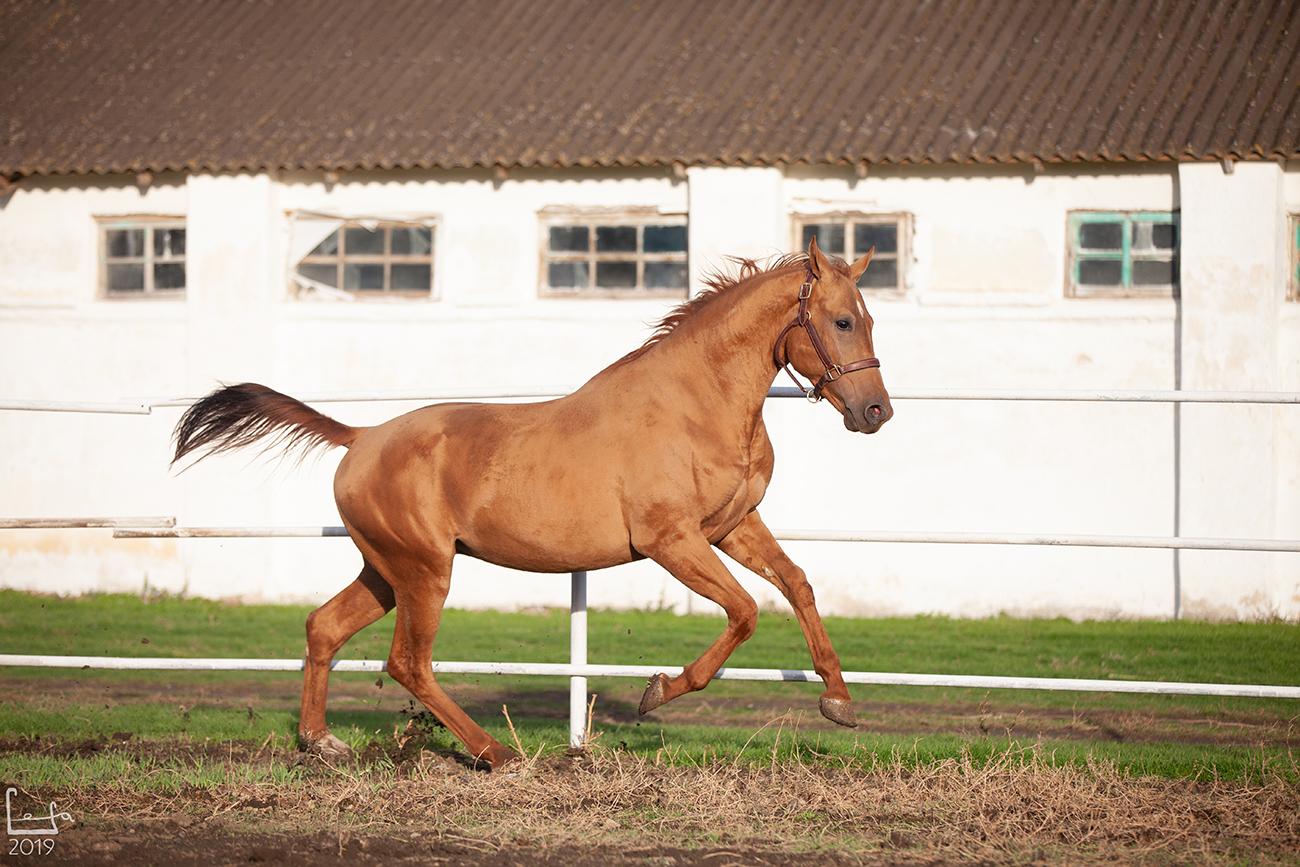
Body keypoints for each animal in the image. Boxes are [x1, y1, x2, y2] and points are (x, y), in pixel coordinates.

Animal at [175, 235, 894, 764]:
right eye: (840, 320)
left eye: (869, 318)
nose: (875, 412)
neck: (696, 406)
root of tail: (360, 437)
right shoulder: (671, 540)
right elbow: (744, 611)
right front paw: (658, 690)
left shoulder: (731, 525)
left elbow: (797, 584)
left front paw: (838, 700)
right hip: (425, 571)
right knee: (409, 661)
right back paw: (495, 753)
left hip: (385, 570)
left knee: (324, 627)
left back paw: (322, 743)